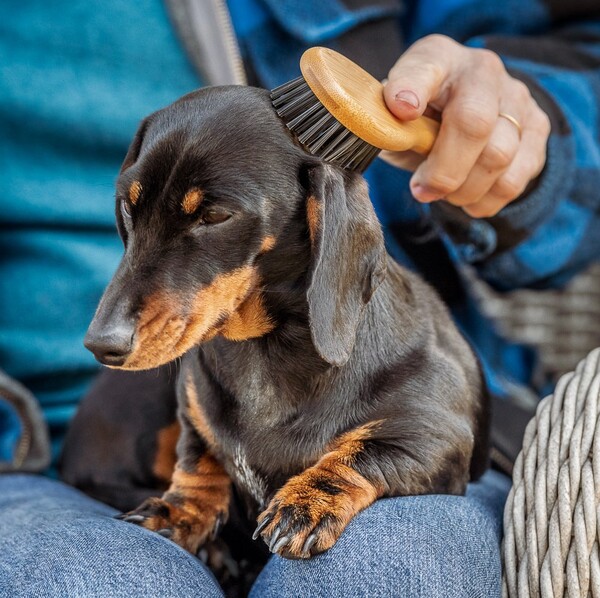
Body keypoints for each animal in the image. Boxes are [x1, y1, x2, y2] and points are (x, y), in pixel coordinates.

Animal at [84, 85, 488, 564]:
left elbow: (364, 451)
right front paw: (178, 511)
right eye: (128, 207)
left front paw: (308, 501)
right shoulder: (191, 416)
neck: (260, 349)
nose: (100, 345)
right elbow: (196, 460)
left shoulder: (435, 435)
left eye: (214, 216)